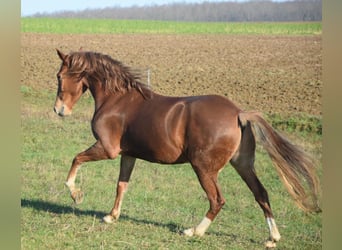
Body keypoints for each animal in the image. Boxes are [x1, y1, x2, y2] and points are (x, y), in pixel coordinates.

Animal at [53, 49, 320, 247]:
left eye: (59, 76)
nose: (59, 110)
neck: (117, 99)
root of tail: (239, 113)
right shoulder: (128, 155)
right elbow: (122, 185)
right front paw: (111, 216)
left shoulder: (107, 149)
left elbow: (76, 159)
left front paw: (76, 194)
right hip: (243, 165)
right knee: (261, 194)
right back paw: (272, 238)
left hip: (203, 168)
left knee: (217, 200)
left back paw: (194, 231)